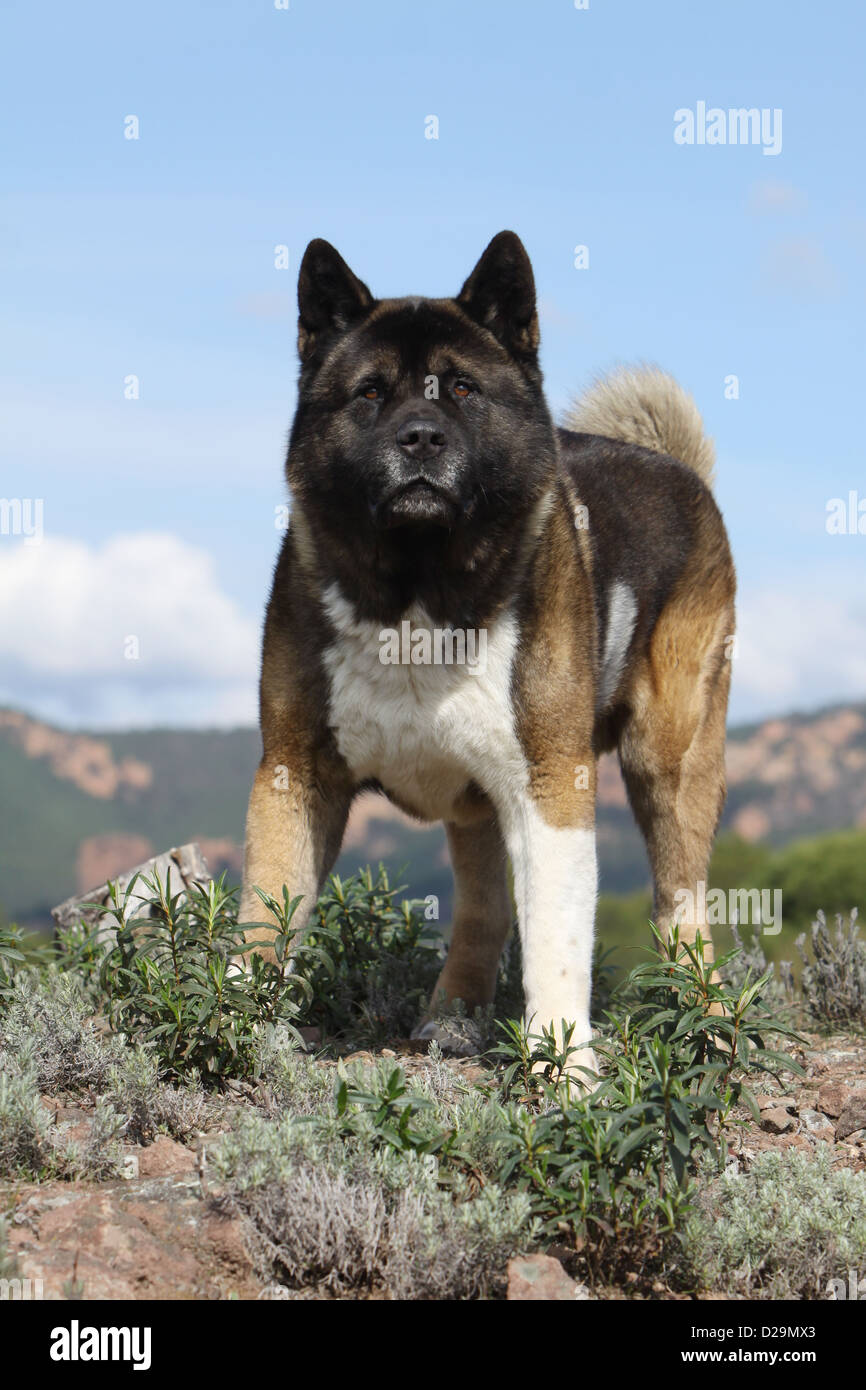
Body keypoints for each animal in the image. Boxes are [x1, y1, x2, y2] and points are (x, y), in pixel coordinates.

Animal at [239, 233, 739, 1067]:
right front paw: (231, 1027)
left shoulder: (551, 784)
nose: (419, 436)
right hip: (477, 801)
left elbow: (557, 938)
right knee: (486, 909)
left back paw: (705, 1019)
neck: (418, 591)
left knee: (682, 903)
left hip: (668, 764)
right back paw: (453, 1016)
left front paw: (566, 1069)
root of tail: (682, 471)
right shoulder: (294, 774)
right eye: (369, 394)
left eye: (464, 390)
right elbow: (263, 914)